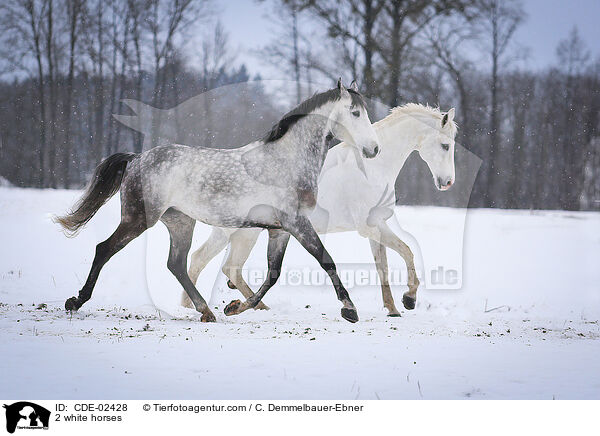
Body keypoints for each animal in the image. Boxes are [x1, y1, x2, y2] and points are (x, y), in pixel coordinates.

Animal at [54, 80, 378, 322]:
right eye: (354, 112)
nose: (373, 149)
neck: (287, 161)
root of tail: (136, 159)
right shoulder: (295, 223)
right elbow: (325, 260)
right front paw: (350, 310)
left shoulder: (279, 230)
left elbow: (273, 274)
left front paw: (235, 308)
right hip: (138, 219)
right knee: (104, 249)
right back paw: (76, 301)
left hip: (180, 221)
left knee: (176, 263)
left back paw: (206, 311)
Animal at [182, 104, 454, 316]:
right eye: (445, 145)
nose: (447, 182)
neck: (372, 168)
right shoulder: (368, 227)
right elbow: (407, 251)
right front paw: (409, 299)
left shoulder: (377, 226)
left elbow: (384, 267)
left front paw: (393, 309)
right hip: (244, 234)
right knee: (227, 267)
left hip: (231, 233)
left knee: (203, 261)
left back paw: (197, 308)